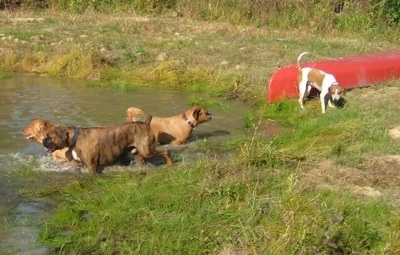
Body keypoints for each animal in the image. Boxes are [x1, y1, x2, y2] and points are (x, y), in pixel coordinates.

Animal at [42, 114, 173, 174]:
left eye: (49, 137)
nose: (43, 141)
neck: (76, 137)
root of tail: (145, 123)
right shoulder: (78, 162)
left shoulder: (91, 166)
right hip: (138, 154)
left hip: (147, 151)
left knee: (166, 151)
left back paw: (171, 164)